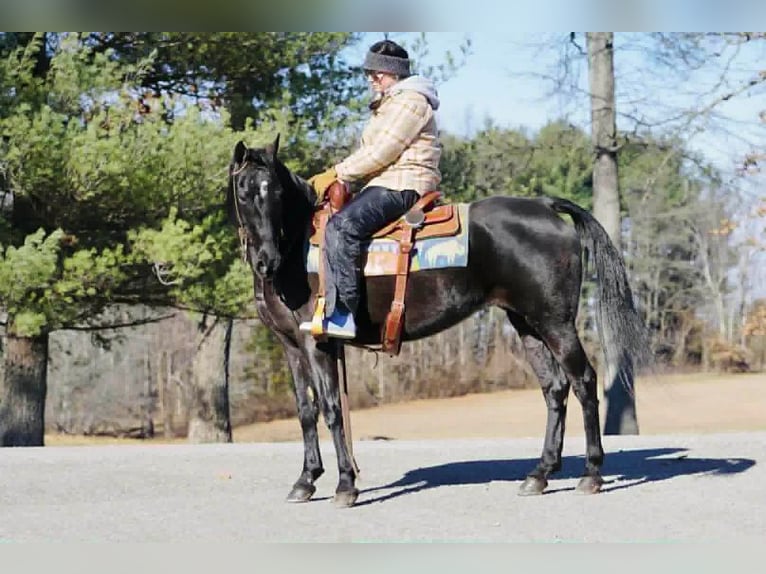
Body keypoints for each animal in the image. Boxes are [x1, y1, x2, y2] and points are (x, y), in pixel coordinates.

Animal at [227, 135, 648, 508]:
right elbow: (305, 410)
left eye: (277, 192)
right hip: (527, 323)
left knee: (584, 381)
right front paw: (305, 480)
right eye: (244, 191)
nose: (266, 260)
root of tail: (545, 206)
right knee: (555, 389)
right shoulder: (291, 345)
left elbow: (332, 409)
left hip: (555, 322)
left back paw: (591, 473)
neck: (297, 250)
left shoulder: (318, 344)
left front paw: (345, 485)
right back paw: (540, 474)